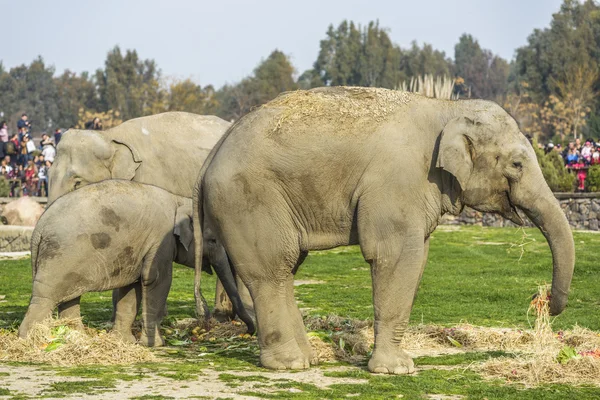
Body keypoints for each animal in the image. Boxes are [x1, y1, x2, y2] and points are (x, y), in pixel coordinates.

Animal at [18, 180, 253, 346]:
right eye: (213, 240)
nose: (249, 331)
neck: (180, 200)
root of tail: (38, 228)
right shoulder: (160, 240)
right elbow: (156, 280)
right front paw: (155, 345)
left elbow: (131, 290)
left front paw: (124, 342)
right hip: (60, 257)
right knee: (45, 298)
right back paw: (30, 341)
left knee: (70, 298)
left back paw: (77, 338)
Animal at [195, 86, 576, 374]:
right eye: (517, 164)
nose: (541, 300)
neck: (447, 108)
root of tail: (213, 153)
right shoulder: (397, 182)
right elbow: (395, 255)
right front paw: (397, 370)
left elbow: (418, 258)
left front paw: (397, 364)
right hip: (248, 198)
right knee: (272, 269)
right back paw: (290, 364)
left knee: (286, 268)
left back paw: (308, 359)